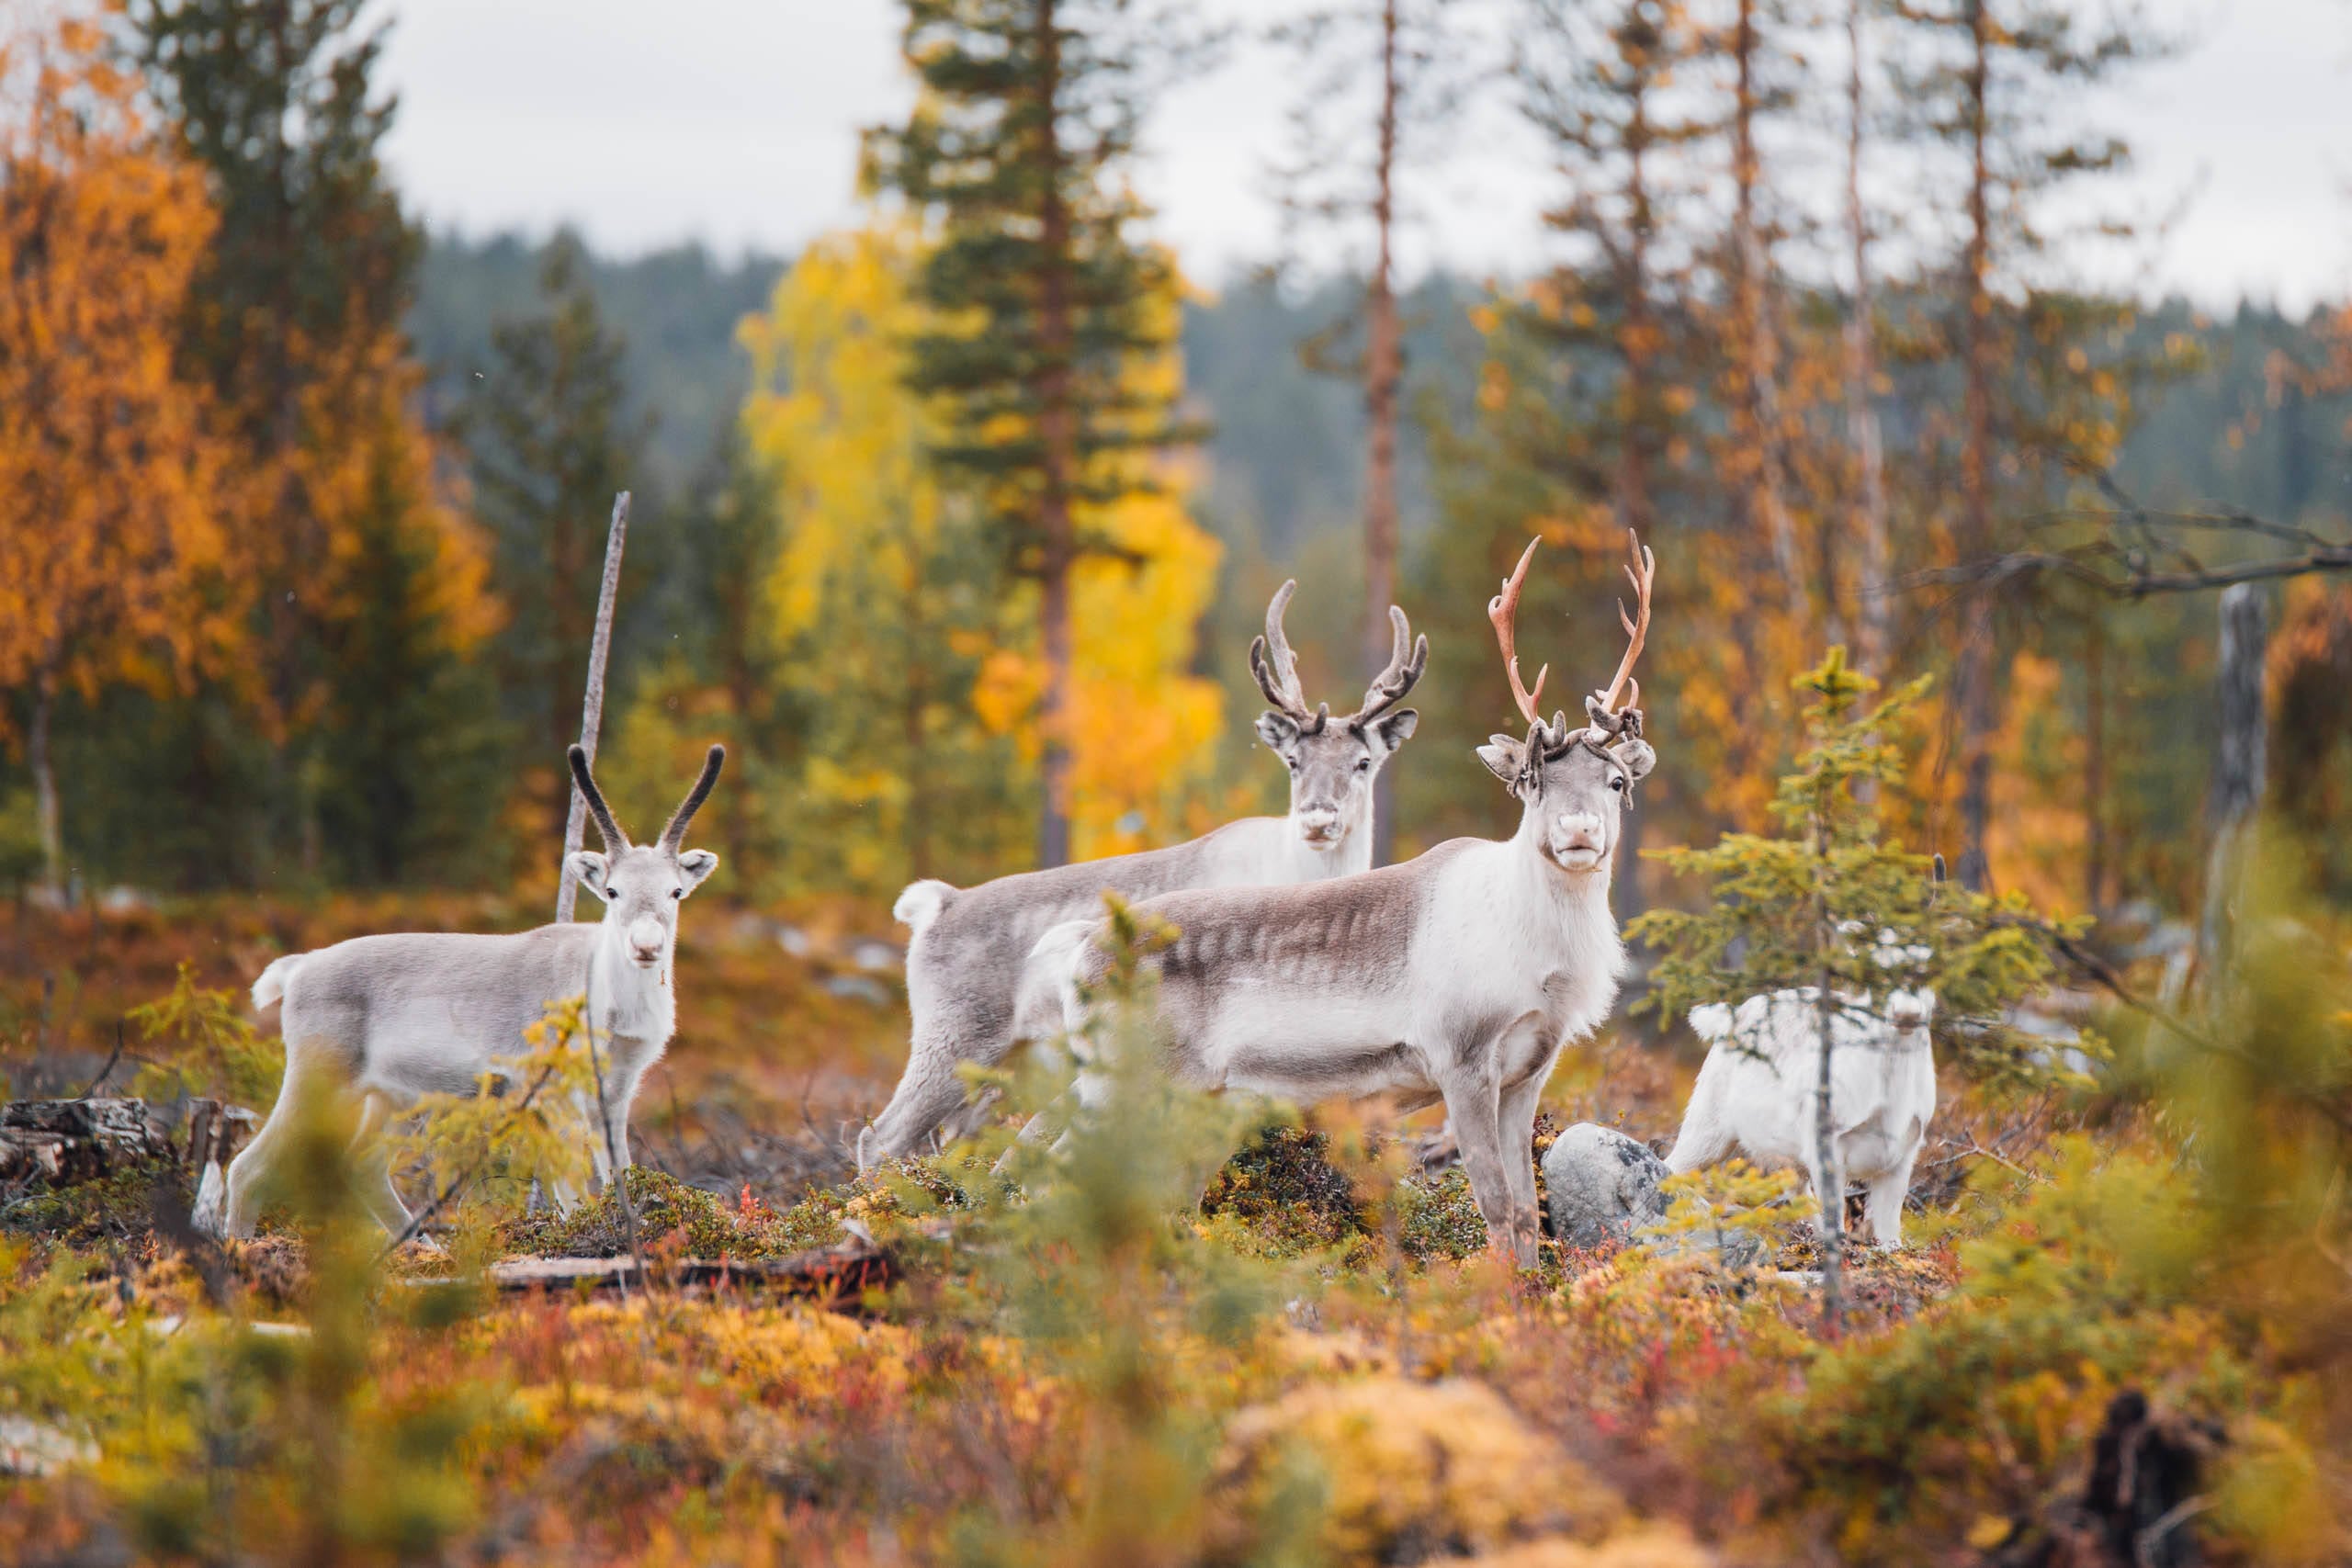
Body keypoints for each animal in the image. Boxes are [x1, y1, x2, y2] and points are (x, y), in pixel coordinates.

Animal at [215, 744, 724, 1240]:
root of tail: (298, 969)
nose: (646, 945)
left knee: (362, 1166)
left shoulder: (618, 1088)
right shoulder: (553, 1089)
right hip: (319, 1075)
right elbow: (572, 1190)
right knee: (247, 1168)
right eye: (613, 891)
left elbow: (619, 1171)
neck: (608, 1002)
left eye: (676, 891)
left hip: (394, 1096)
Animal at [858, 582, 1428, 1170]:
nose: (1317, 820)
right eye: (1293, 761)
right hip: (953, 1038)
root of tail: (936, 905)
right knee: (880, 1137)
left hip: (1002, 1065)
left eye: (1363, 762)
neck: (1295, 870)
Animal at [1045, 532, 1658, 1265]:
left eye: (1617, 780)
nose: (1578, 831)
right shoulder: (1461, 1061)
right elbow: (1498, 1207)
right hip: (1122, 1080)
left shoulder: (1528, 1073)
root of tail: (1081, 953)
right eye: (1533, 780)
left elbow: (1529, 1217)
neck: (1543, 958)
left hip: (1198, 1102)